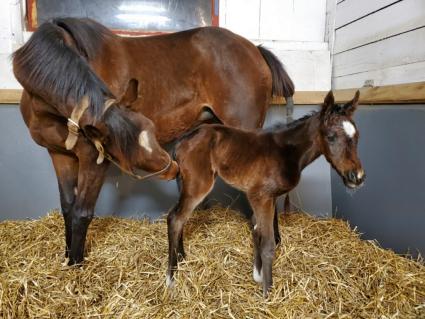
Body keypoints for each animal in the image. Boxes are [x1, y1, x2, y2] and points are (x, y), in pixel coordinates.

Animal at [166, 90, 364, 298]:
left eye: (357, 136)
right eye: (331, 136)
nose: (357, 177)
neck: (287, 152)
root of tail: (181, 142)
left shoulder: (267, 198)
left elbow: (257, 230)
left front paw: (258, 275)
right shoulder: (260, 196)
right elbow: (269, 244)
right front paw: (267, 293)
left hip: (186, 185)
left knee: (179, 218)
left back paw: (182, 259)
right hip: (198, 185)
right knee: (175, 219)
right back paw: (171, 278)